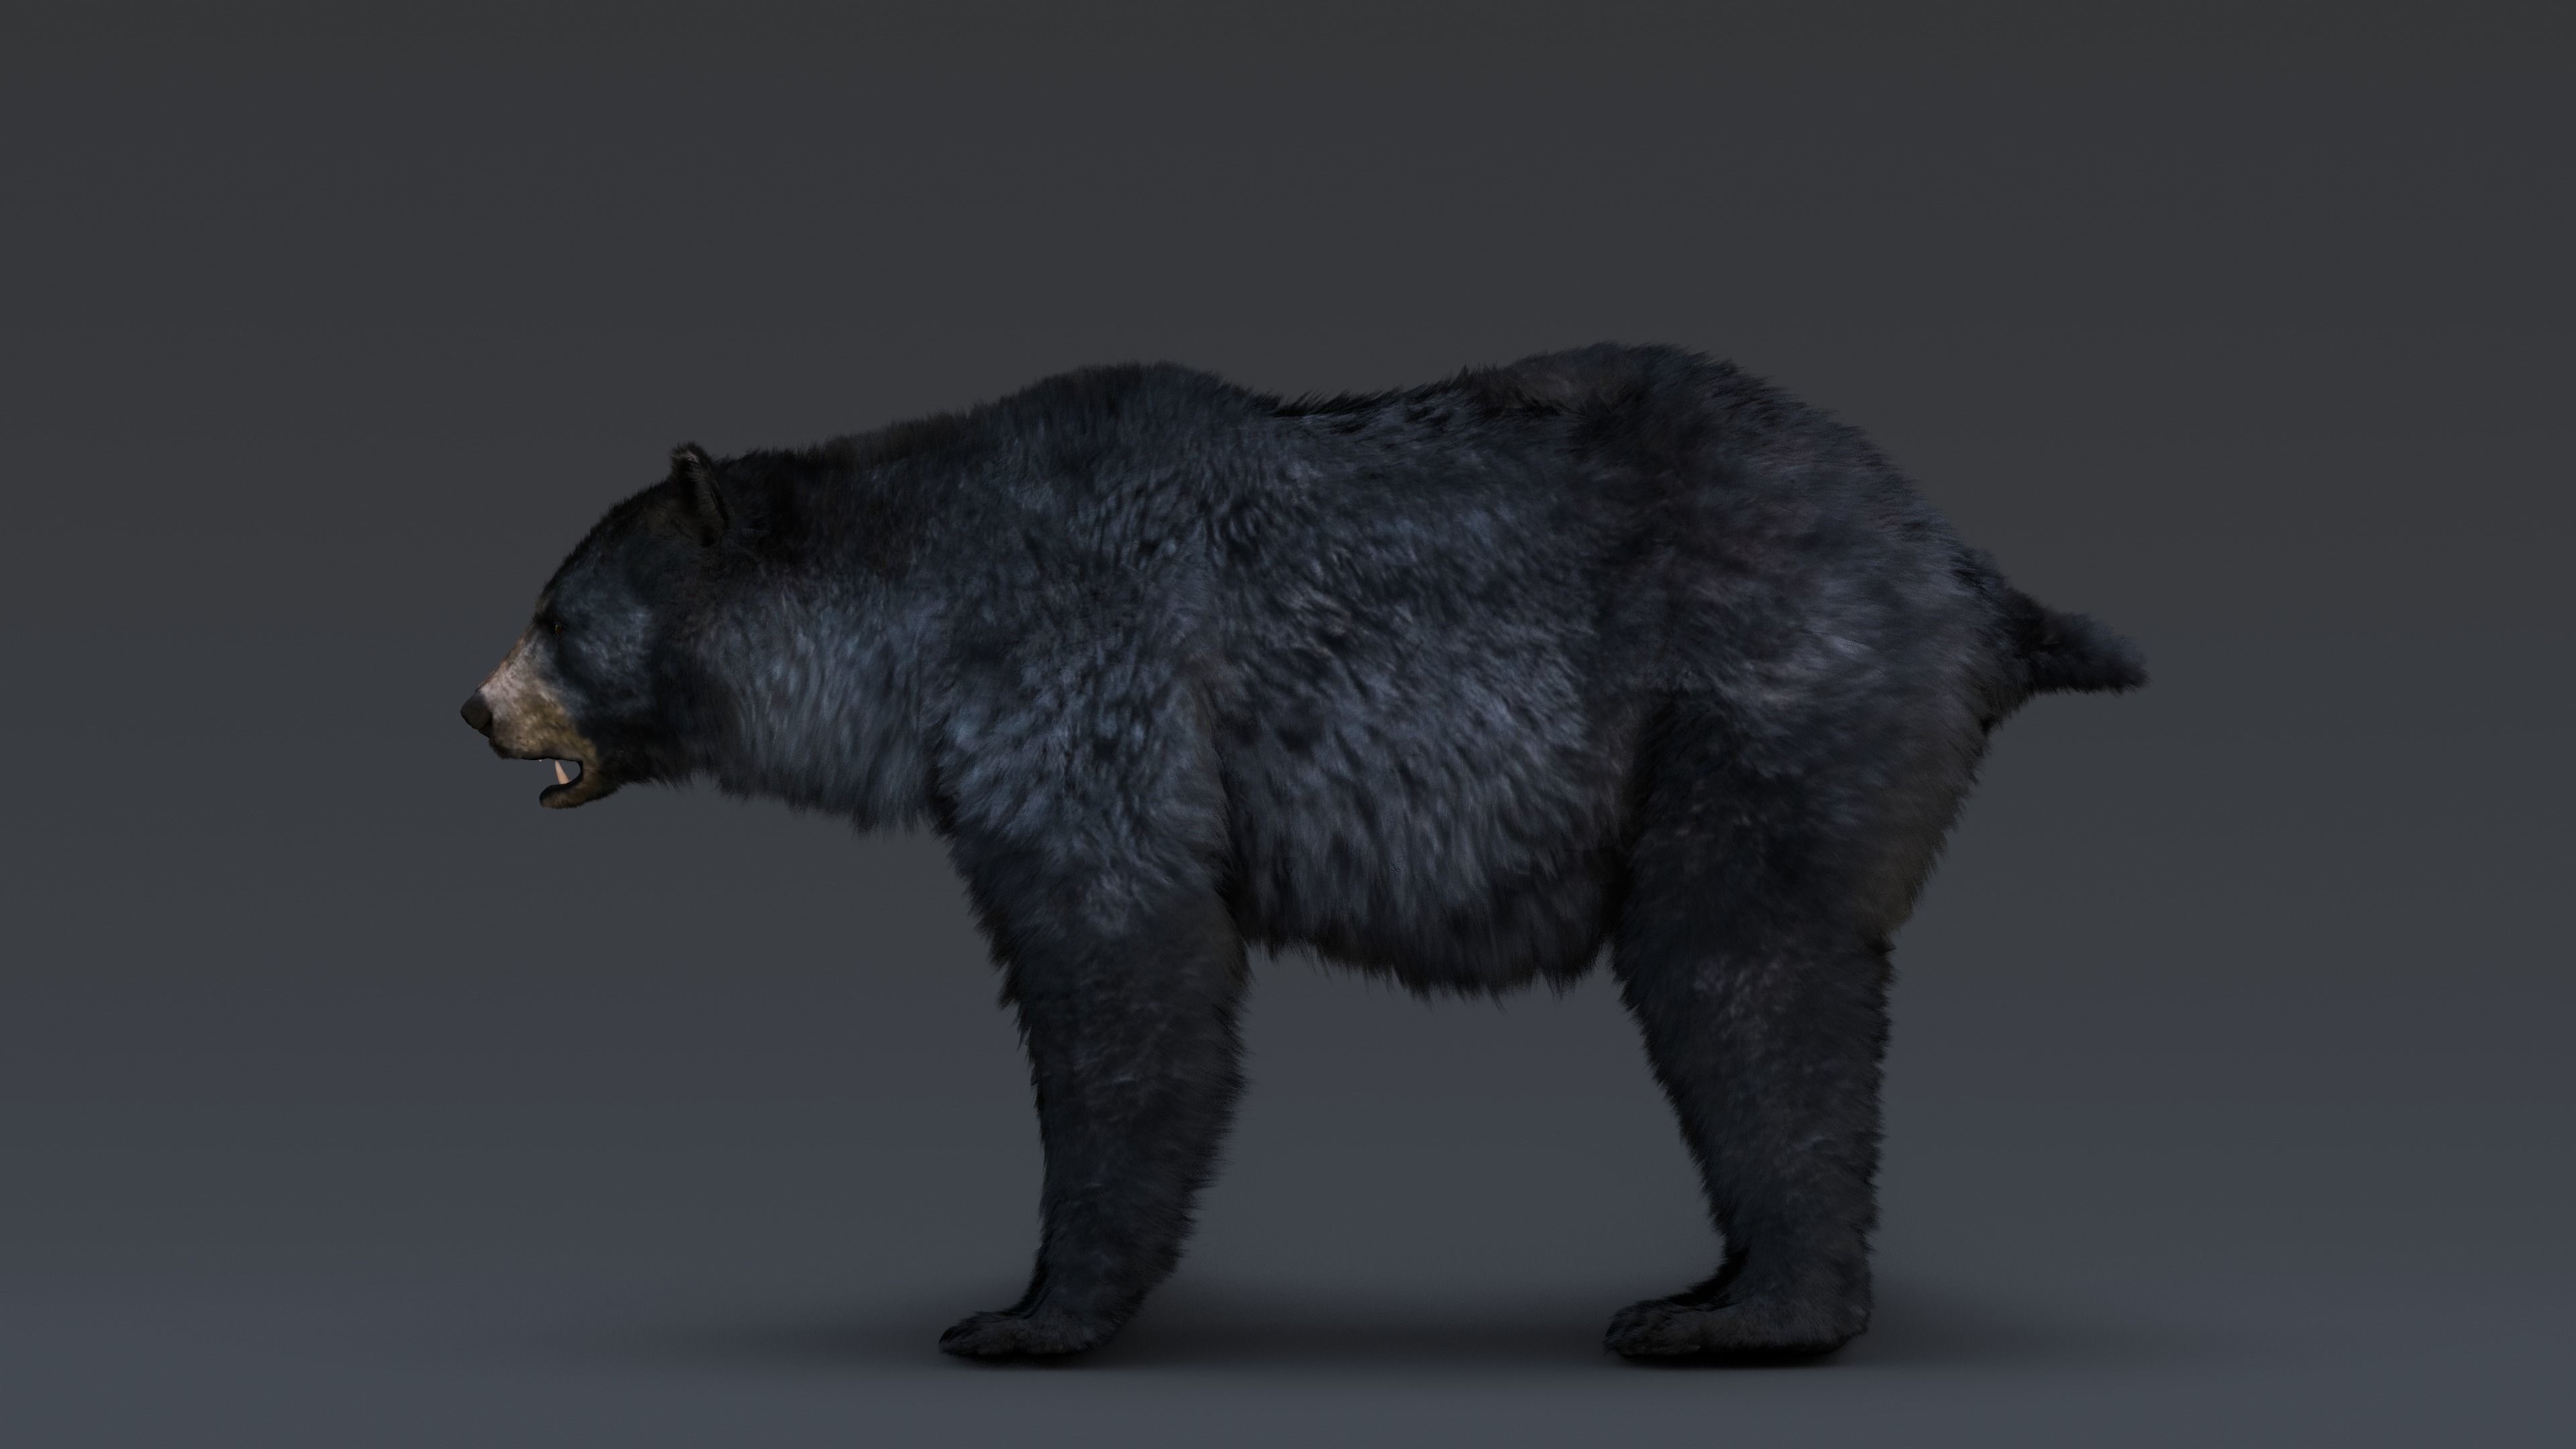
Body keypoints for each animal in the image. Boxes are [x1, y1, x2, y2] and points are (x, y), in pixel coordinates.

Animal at [460, 343, 2145, 1361]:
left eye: (554, 612)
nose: (474, 706)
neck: (917, 596)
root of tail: (1964, 570)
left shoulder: (1081, 672)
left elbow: (1121, 964)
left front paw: (1027, 1313)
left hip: (1758, 707)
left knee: (1744, 975)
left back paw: (1731, 1312)